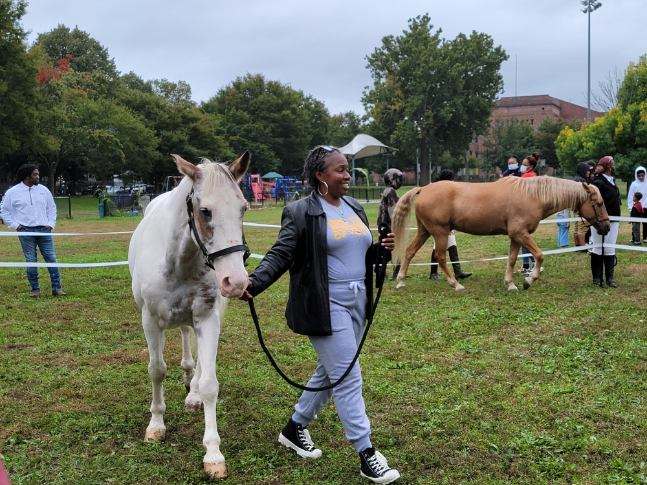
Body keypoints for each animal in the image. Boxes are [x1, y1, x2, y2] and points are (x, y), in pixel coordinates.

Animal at [129, 152, 251, 476]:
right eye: (205, 211)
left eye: (243, 208)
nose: (236, 281)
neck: (177, 262)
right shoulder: (150, 321)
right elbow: (156, 371)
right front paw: (156, 425)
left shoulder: (207, 318)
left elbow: (209, 384)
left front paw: (213, 453)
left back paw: (191, 391)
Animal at [392, 176, 612, 290]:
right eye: (599, 203)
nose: (607, 227)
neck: (533, 196)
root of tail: (422, 189)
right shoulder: (521, 233)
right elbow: (539, 255)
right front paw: (529, 280)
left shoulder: (516, 236)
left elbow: (513, 259)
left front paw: (511, 283)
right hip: (440, 232)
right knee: (440, 257)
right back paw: (455, 284)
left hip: (425, 231)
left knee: (409, 252)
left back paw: (401, 281)